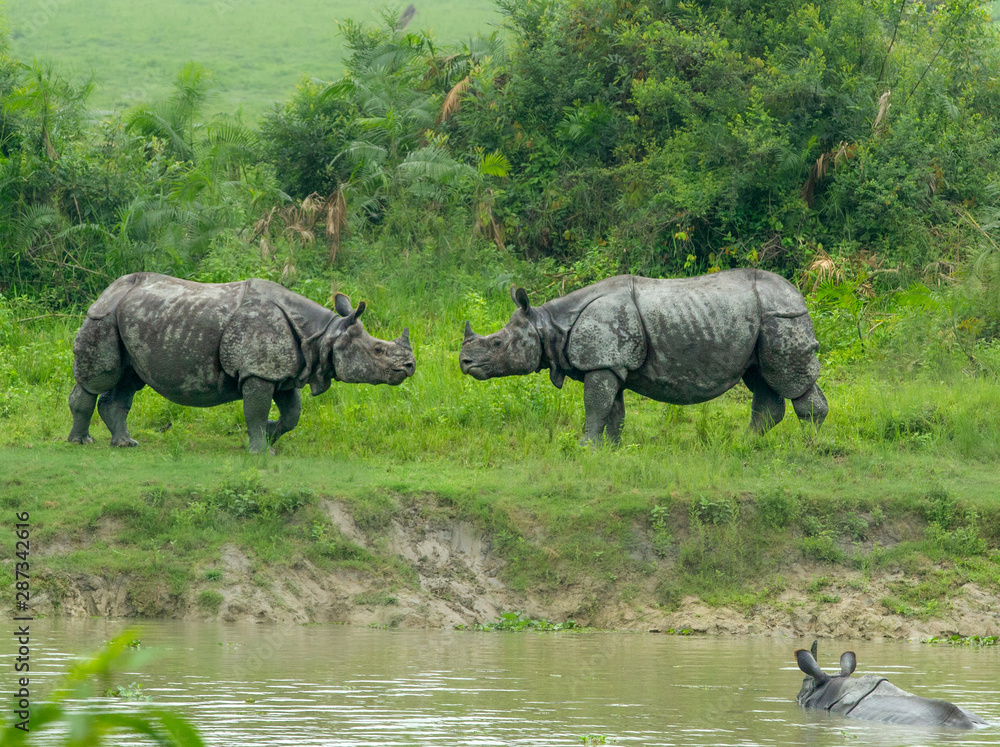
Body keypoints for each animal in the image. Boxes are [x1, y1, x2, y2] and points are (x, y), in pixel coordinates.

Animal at [68, 273, 415, 452]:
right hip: (103, 315)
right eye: (378, 350)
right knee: (99, 378)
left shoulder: (285, 370)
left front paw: (272, 434)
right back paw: (82, 442)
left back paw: (125, 444)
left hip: (129, 317)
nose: (410, 366)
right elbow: (256, 410)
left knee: (128, 378)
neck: (322, 335)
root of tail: (107, 289)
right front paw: (261, 451)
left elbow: (293, 413)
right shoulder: (257, 372)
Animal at [459, 269, 827, 444]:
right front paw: (610, 449)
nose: (464, 363)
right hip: (763, 318)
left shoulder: (602, 362)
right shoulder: (611, 363)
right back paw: (743, 444)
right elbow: (612, 411)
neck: (550, 325)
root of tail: (798, 293)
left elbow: (594, 407)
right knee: (761, 378)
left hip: (782, 316)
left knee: (789, 380)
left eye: (497, 343)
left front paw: (584, 446)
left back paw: (806, 445)